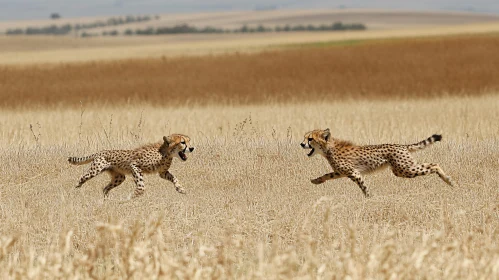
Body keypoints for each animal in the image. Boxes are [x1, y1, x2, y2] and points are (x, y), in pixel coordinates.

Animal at [302, 129, 456, 197]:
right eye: (305, 138)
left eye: (310, 139)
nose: (301, 144)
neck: (328, 148)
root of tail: (402, 146)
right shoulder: (341, 172)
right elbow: (327, 175)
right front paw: (316, 181)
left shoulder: (354, 173)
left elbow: (363, 187)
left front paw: (369, 198)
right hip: (403, 168)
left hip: (403, 169)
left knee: (434, 164)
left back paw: (450, 181)